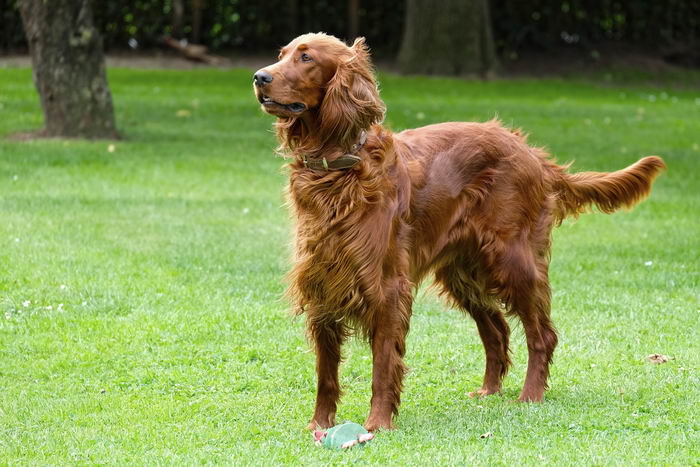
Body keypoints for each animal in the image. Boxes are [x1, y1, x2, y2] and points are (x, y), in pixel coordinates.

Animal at [252, 32, 660, 432]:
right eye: (282, 53)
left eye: (306, 58)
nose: (259, 77)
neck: (337, 170)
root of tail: (530, 151)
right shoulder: (322, 282)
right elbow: (326, 372)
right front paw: (319, 426)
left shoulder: (386, 288)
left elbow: (383, 364)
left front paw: (377, 425)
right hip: (463, 271)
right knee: (497, 330)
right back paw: (489, 391)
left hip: (512, 260)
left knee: (541, 333)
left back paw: (530, 396)